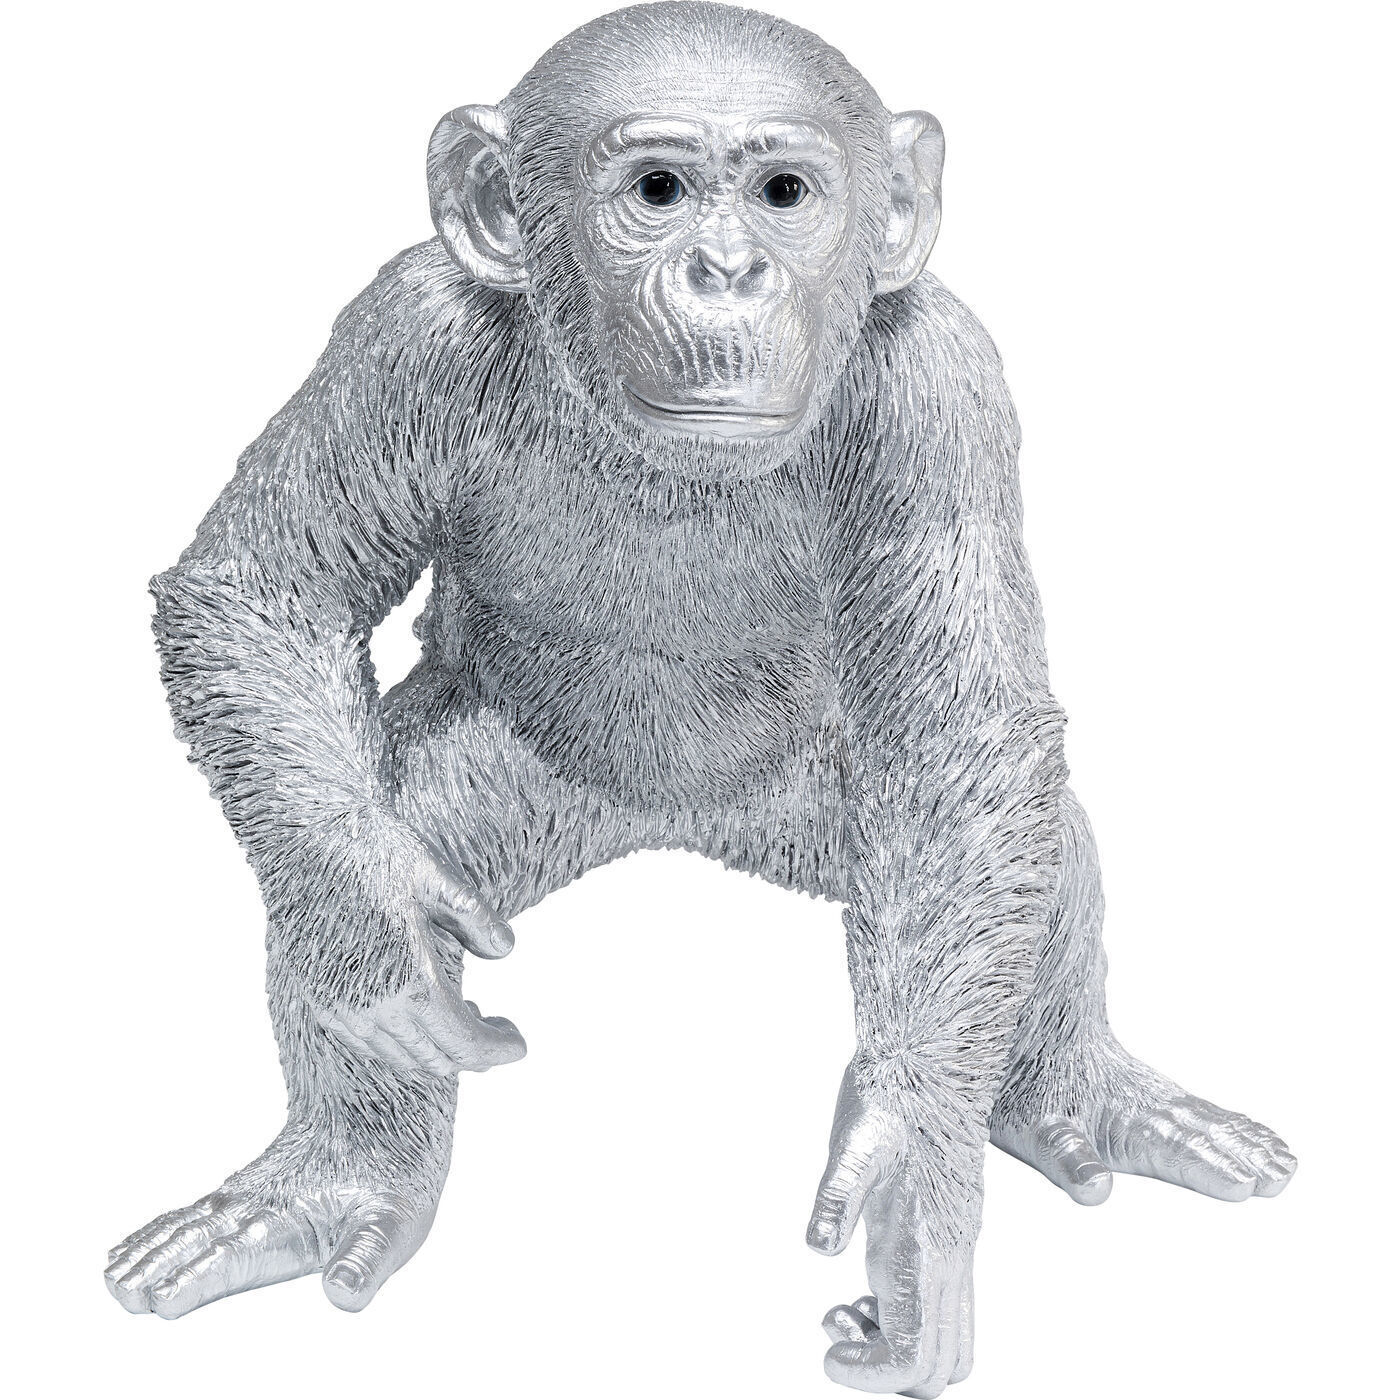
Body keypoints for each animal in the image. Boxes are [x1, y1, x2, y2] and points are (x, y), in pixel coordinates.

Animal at [105, 5, 1295, 1395]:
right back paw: (338, 1177)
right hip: (510, 790)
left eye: (783, 194)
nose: (726, 272)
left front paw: (909, 1177)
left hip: (811, 805)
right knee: (347, 830)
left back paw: (1072, 1097)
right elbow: (262, 593)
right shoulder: (404, 333)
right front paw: (385, 935)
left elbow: (964, 730)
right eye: (657, 191)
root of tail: (663, 824)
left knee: (1021, 843)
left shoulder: (940, 385)